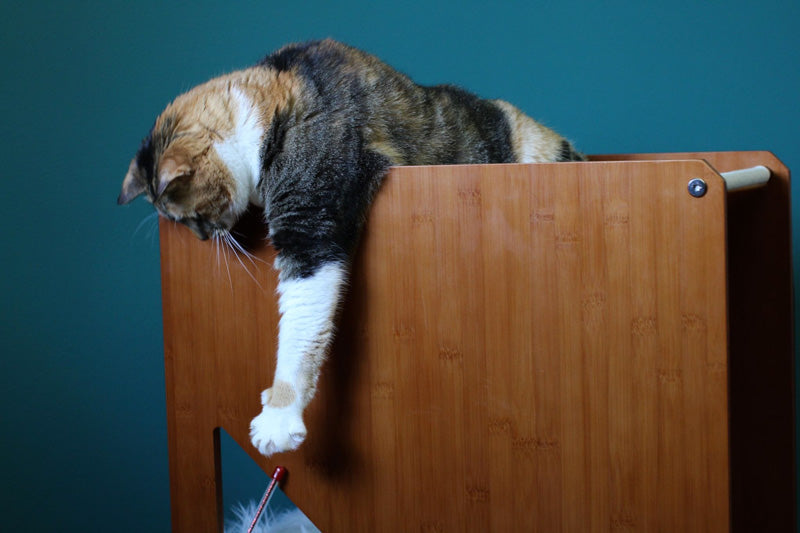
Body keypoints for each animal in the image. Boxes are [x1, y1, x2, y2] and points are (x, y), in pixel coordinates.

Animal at [117, 37, 580, 456]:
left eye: (186, 217)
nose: (200, 237)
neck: (264, 106)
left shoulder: (311, 224)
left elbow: (301, 325)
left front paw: (278, 418)